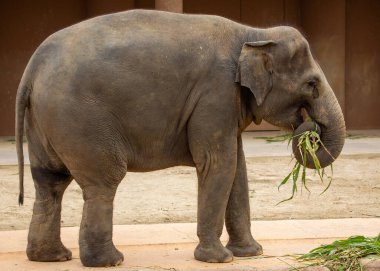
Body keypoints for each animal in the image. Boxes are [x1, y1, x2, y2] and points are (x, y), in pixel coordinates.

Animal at [16, 9, 344, 268]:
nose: (310, 127)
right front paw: (218, 259)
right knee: (103, 181)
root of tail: (32, 68)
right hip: (80, 119)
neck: (254, 34)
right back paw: (109, 261)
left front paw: (251, 253)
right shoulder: (216, 93)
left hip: (45, 123)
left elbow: (237, 169)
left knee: (50, 183)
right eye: (312, 84)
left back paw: (52, 257)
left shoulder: (225, 102)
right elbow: (219, 163)